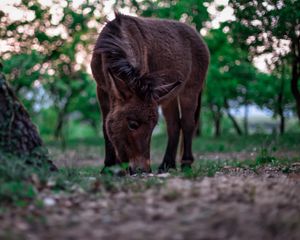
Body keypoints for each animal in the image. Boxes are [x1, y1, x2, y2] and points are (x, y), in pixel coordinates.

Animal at [90, 12, 210, 173]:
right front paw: (110, 167)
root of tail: (197, 34)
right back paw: (167, 164)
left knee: (187, 123)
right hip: (169, 95)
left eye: (153, 127)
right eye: (133, 124)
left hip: (190, 90)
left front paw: (115, 168)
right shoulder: (102, 90)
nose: (144, 170)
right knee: (174, 125)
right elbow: (105, 126)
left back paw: (186, 164)